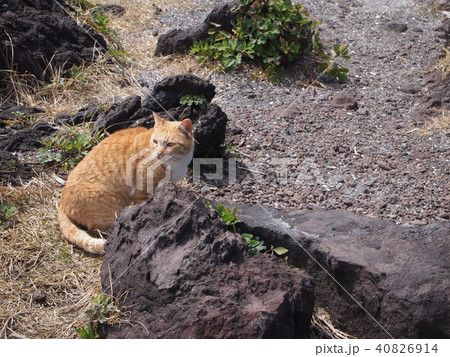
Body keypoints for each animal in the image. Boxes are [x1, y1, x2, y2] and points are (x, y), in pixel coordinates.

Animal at [57, 113, 193, 253]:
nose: (159, 153)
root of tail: (62, 202)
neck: (177, 162)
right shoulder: (142, 193)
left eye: (170, 144)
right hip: (114, 203)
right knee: (98, 228)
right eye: (155, 141)